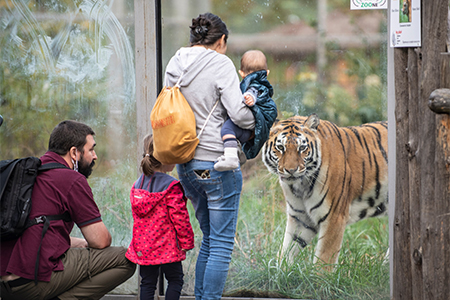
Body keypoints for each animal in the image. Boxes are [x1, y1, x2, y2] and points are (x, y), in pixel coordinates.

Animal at [262, 113, 388, 270]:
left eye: (302, 148)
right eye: (280, 147)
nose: (291, 170)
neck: (300, 186)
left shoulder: (334, 216)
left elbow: (324, 258)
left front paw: (318, 276)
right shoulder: (300, 217)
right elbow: (287, 248)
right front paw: (279, 271)